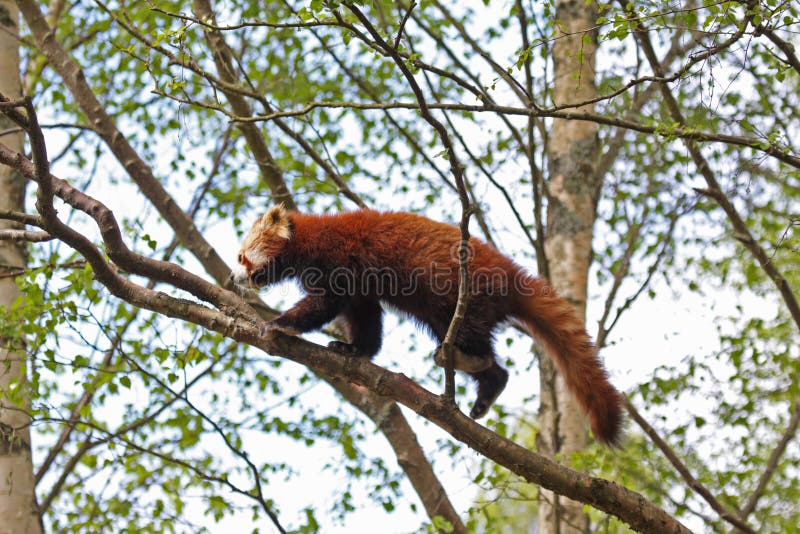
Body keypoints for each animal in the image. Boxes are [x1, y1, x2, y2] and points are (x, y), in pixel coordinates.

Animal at [231, 207, 624, 446]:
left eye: (241, 256)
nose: (233, 278)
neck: (306, 240)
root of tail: (512, 275)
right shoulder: (359, 286)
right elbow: (365, 318)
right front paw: (354, 349)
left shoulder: (338, 259)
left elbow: (323, 306)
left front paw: (279, 324)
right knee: (488, 359)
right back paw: (488, 385)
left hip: (463, 292)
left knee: (466, 331)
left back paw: (466, 359)